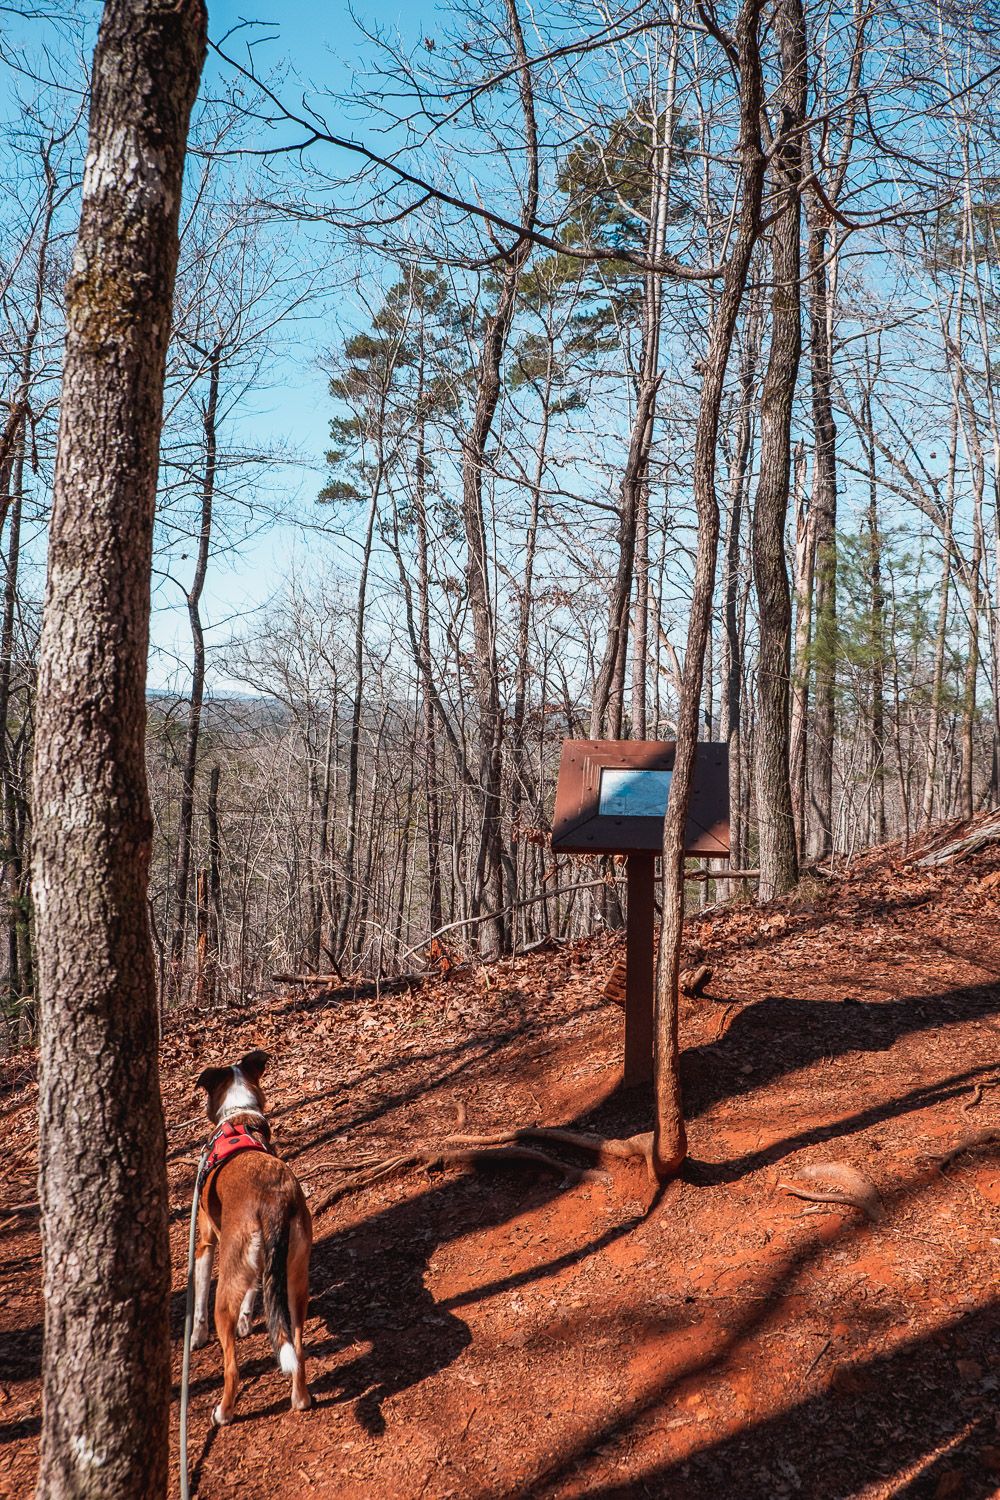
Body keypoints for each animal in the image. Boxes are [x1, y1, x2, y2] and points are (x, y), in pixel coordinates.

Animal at [191, 1050, 308, 1422]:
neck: (238, 1116)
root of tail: (273, 1202)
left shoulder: (205, 1242)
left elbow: (198, 1298)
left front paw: (196, 1336)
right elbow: (255, 1288)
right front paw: (247, 1319)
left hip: (225, 1290)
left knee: (232, 1367)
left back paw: (224, 1411)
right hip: (295, 1284)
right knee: (296, 1345)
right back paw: (301, 1398)